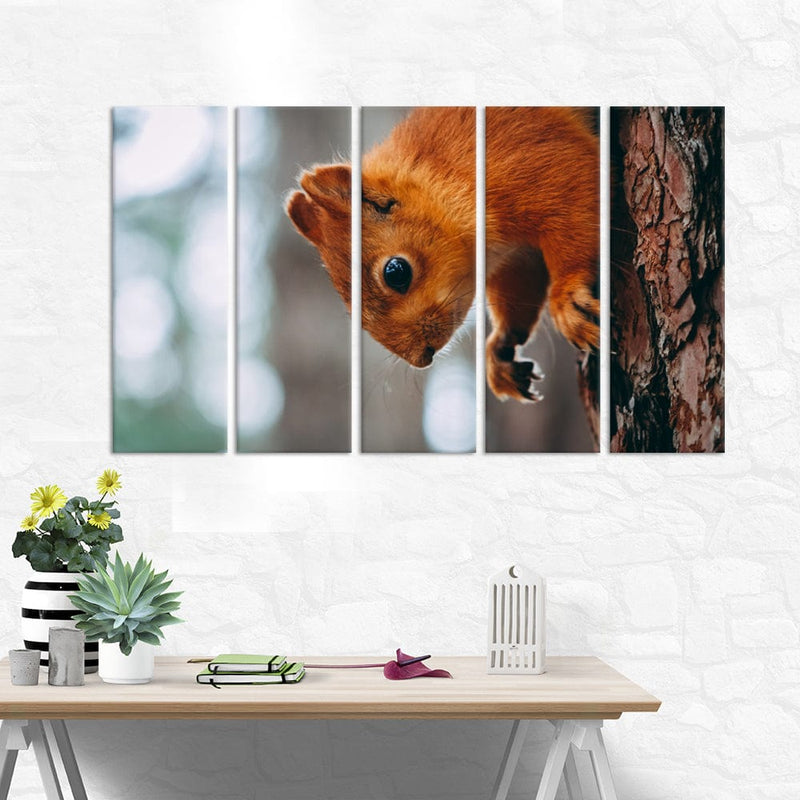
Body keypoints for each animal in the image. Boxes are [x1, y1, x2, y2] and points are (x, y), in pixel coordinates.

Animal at [286, 106, 599, 402]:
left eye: (396, 272)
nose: (422, 357)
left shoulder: (534, 157)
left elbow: (579, 197)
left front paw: (567, 297)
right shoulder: (515, 256)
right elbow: (520, 285)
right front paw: (500, 348)